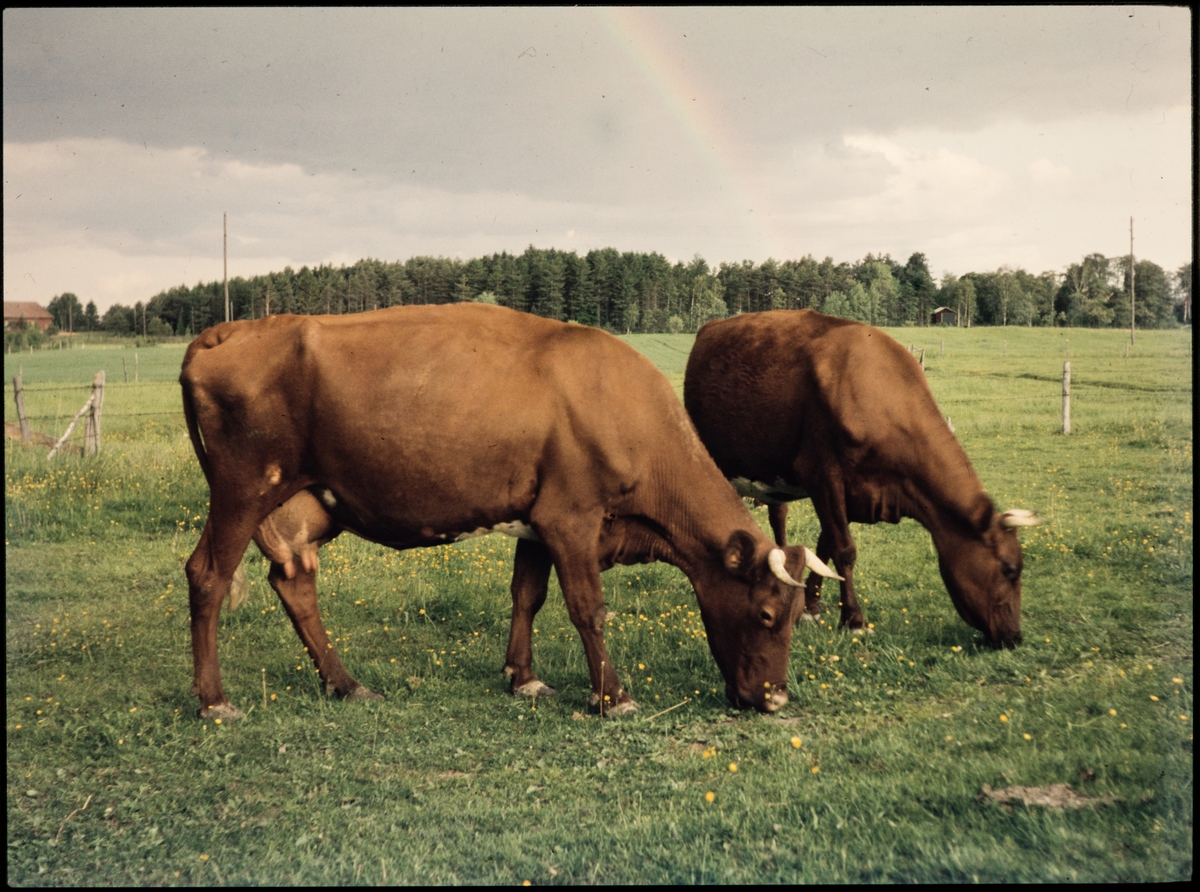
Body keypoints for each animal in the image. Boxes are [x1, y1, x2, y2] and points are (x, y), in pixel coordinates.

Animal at [182, 303, 840, 720]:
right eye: (765, 614)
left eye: (792, 616)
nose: (775, 700)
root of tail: (231, 330)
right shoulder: (572, 518)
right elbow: (588, 609)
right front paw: (613, 697)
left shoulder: (538, 520)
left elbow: (528, 594)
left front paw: (523, 677)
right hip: (243, 489)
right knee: (207, 575)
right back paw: (214, 701)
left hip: (303, 508)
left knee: (295, 581)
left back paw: (347, 685)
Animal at [686, 309, 1041, 643]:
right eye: (1010, 569)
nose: (1014, 637)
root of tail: (710, 328)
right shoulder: (822, 474)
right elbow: (844, 550)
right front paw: (853, 620)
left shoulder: (856, 492)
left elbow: (825, 545)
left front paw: (810, 608)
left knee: (779, 514)